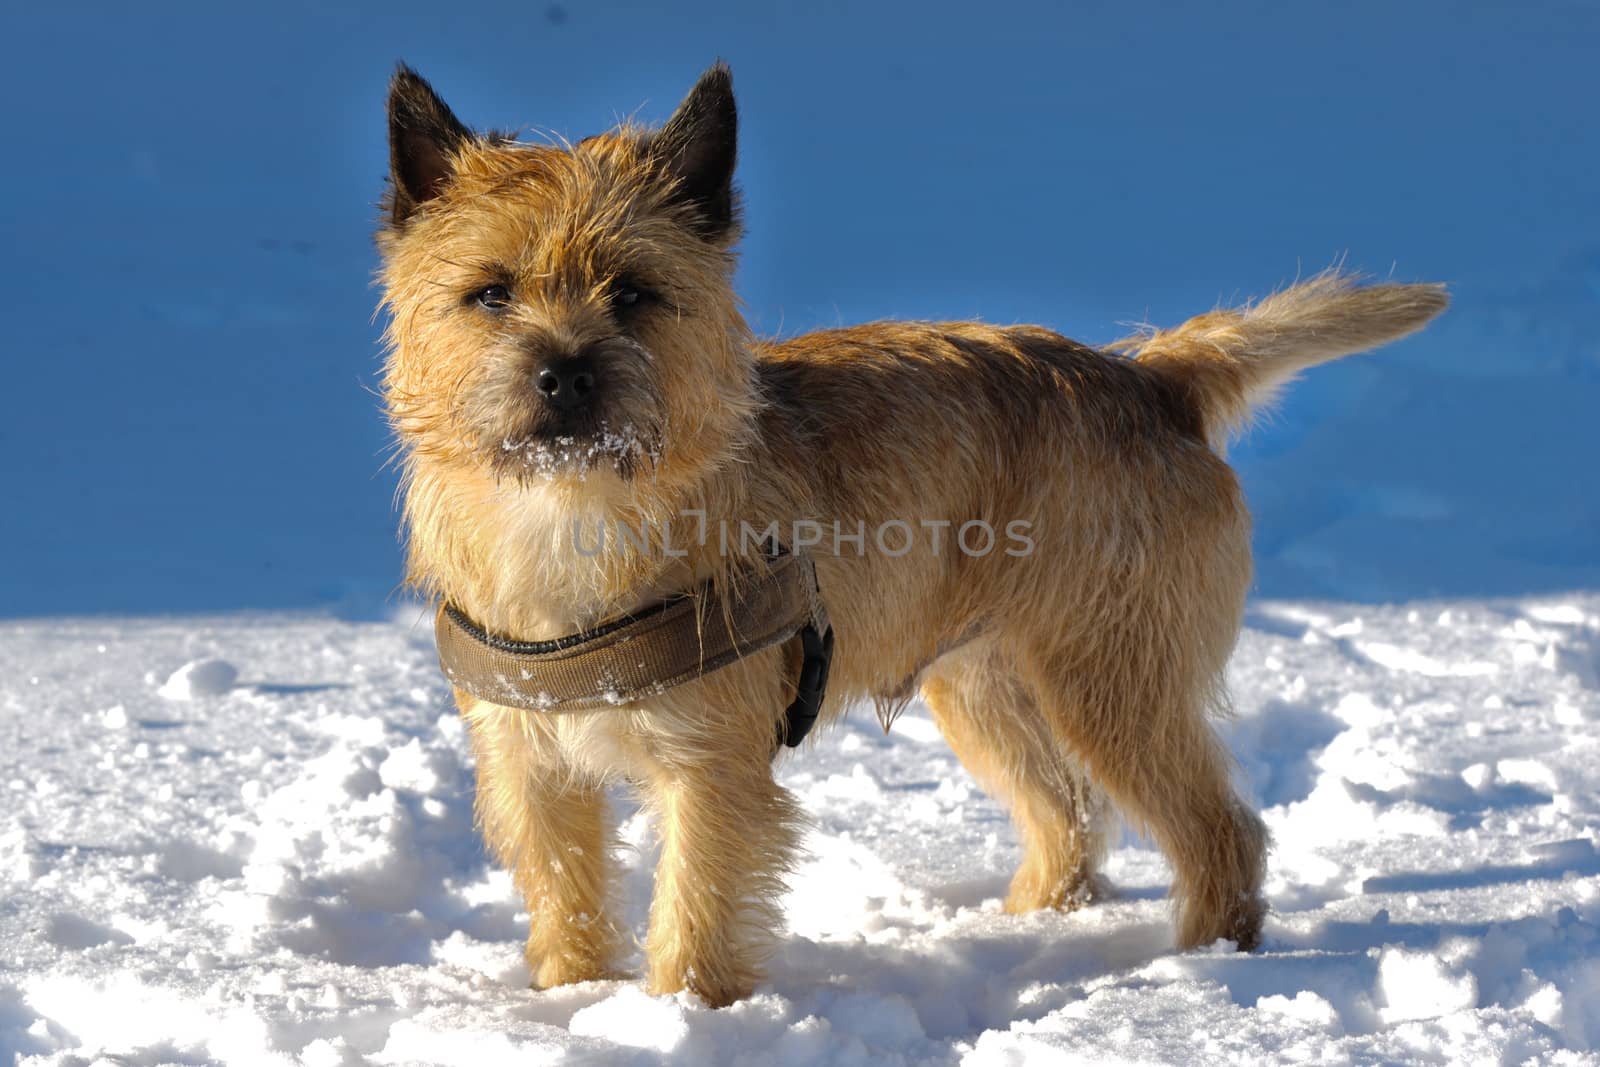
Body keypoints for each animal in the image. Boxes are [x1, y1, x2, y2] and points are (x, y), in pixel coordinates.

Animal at [374, 60, 1452, 1011]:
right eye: (491, 291)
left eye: (633, 291)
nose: (563, 374)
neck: (573, 511)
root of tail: (1148, 378)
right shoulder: (531, 764)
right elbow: (565, 894)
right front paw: (572, 1002)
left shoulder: (710, 769)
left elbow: (695, 907)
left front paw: (678, 1017)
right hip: (985, 684)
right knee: (1067, 812)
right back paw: (1030, 926)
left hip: (1110, 681)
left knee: (1218, 826)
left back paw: (1203, 972)